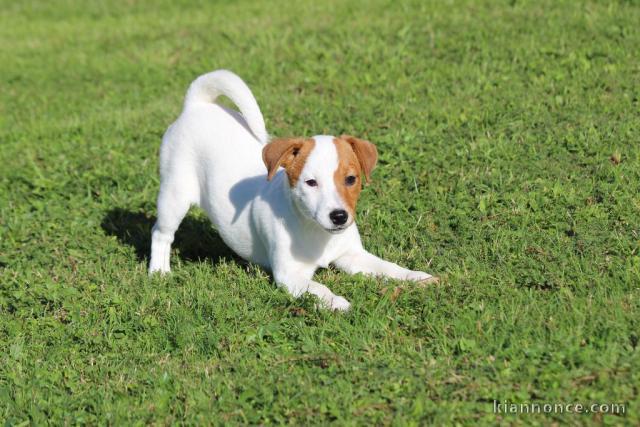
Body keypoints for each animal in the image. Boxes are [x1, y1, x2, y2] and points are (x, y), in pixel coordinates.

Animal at [148, 70, 438, 310]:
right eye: (311, 182)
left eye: (351, 179)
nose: (339, 217)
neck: (316, 232)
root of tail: (197, 105)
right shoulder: (290, 276)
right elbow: (318, 288)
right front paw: (336, 302)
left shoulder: (353, 256)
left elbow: (387, 267)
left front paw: (416, 277)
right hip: (174, 194)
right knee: (161, 234)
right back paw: (159, 272)